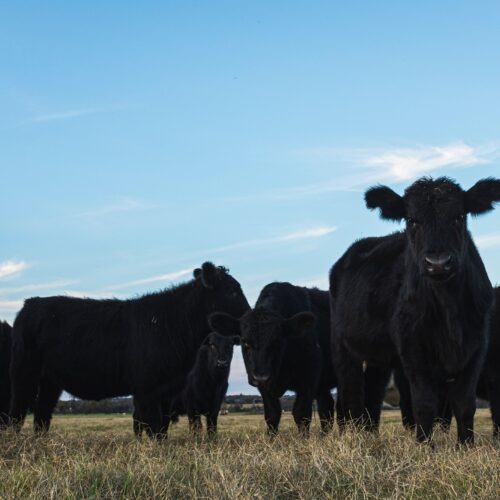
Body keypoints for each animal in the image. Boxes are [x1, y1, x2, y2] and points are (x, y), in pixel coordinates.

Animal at [8, 264, 249, 436]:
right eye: (232, 292)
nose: (248, 317)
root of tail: (31, 303)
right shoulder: (147, 389)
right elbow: (153, 428)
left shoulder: (166, 392)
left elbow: (161, 429)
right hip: (24, 373)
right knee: (17, 412)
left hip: (51, 381)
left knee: (42, 415)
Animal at [210, 284, 336, 436]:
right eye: (245, 342)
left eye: (277, 341)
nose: (261, 376)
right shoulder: (264, 387)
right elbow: (272, 415)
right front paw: (271, 439)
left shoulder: (309, 378)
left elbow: (301, 414)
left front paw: (303, 440)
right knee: (327, 408)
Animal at [328, 178, 500, 444]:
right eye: (411, 220)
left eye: (459, 216)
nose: (438, 263)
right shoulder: (413, 348)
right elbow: (424, 404)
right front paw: (424, 446)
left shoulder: (477, 346)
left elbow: (464, 404)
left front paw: (465, 446)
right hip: (342, 346)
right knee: (350, 396)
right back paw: (354, 438)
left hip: (379, 358)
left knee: (372, 397)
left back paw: (370, 436)